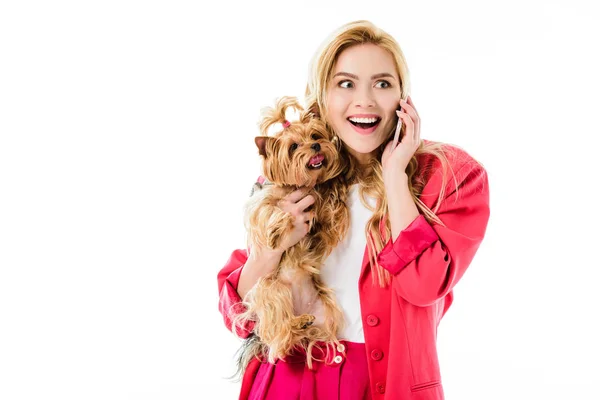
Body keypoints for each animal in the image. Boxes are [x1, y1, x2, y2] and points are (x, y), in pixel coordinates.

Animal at [232, 97, 350, 372]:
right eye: (294, 146)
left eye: (315, 135)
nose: (316, 145)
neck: (301, 185)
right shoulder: (261, 200)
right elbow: (268, 210)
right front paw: (277, 230)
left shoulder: (318, 204)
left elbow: (328, 207)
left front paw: (336, 191)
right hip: (269, 289)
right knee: (278, 334)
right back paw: (293, 324)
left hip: (326, 306)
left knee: (299, 336)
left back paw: (307, 326)